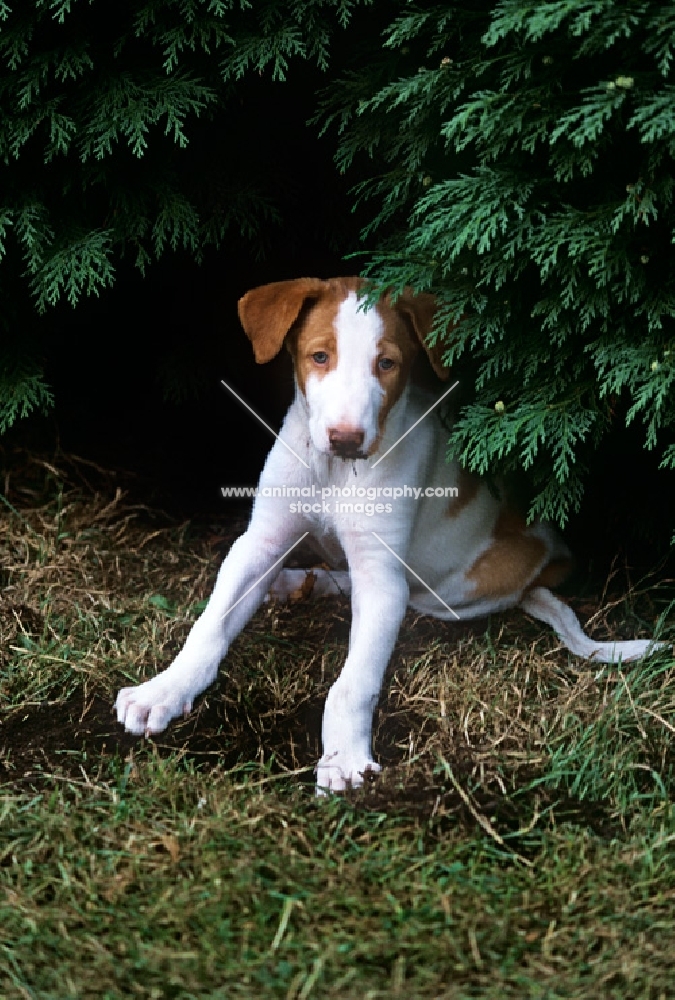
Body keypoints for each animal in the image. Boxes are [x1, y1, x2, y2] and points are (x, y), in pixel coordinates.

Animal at [115, 278, 660, 792]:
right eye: (320, 356)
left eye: (387, 364)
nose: (346, 439)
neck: (334, 471)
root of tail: (555, 556)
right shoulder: (260, 542)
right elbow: (209, 626)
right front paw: (163, 690)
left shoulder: (380, 573)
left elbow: (354, 681)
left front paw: (343, 759)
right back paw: (292, 583)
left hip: (464, 584)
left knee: (407, 598)